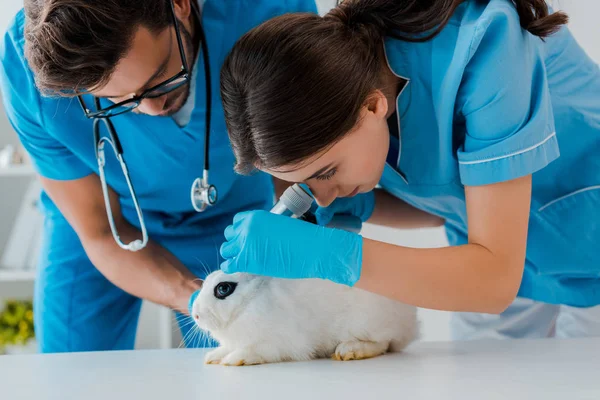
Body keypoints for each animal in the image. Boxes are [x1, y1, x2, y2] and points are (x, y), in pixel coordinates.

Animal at [191, 268, 418, 366]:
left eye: (223, 288)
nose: (196, 315)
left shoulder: (276, 343)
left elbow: (255, 350)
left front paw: (233, 360)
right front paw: (213, 357)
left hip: (365, 323)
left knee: (383, 344)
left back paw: (349, 351)